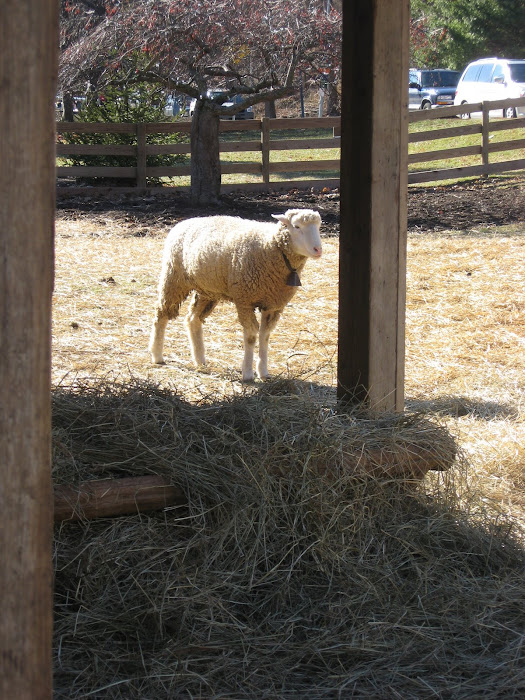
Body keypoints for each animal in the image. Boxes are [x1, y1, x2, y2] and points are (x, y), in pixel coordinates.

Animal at [145, 209, 322, 380]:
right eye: (296, 226)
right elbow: (251, 336)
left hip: (207, 290)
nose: (318, 250)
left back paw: (200, 360)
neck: (272, 247)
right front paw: (248, 373)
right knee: (161, 315)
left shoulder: (273, 304)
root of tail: (182, 223)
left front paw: (263, 372)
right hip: (174, 278)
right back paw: (157, 355)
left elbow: (264, 336)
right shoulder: (245, 300)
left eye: (319, 227)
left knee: (193, 319)